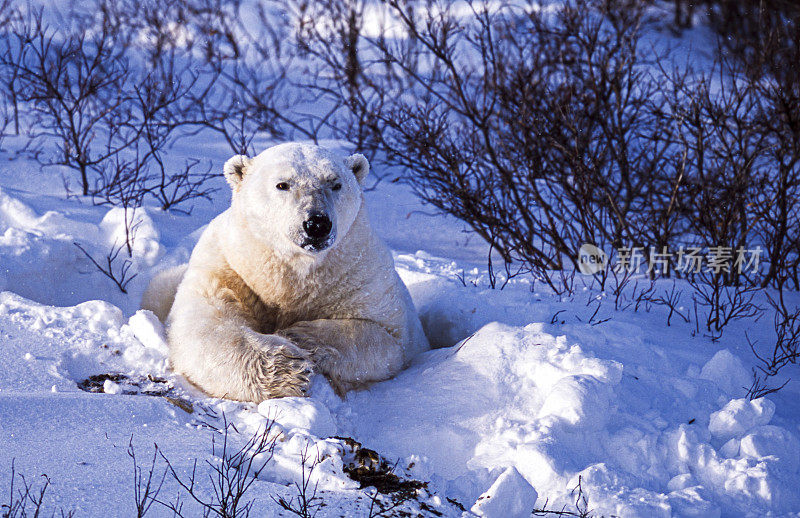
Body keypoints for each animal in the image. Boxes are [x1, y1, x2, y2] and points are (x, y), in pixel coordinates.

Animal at [144, 144, 432, 404]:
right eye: (283, 184)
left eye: (335, 184)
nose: (316, 224)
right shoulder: (229, 267)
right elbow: (206, 324)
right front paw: (290, 369)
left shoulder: (361, 274)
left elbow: (384, 335)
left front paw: (297, 336)